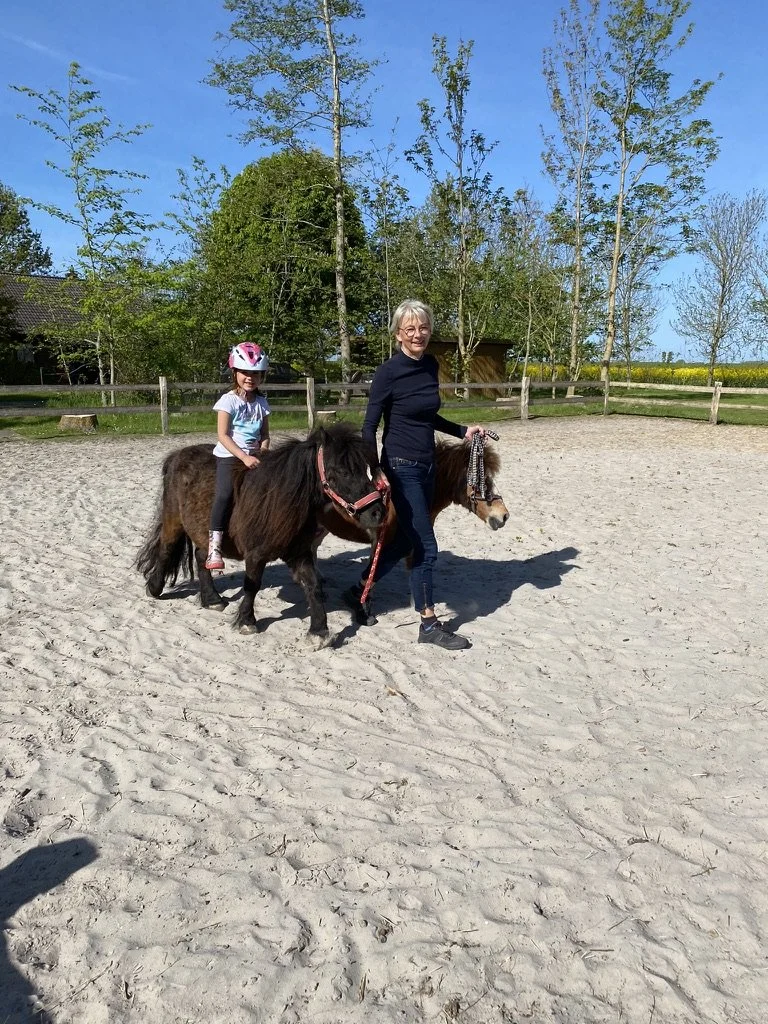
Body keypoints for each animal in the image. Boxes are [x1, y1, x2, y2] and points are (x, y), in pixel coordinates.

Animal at [136, 423, 386, 646]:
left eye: (366, 470)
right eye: (342, 472)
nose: (378, 512)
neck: (280, 499)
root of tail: (177, 455)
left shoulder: (299, 553)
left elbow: (313, 585)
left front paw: (319, 631)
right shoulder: (255, 555)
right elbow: (252, 585)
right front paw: (247, 621)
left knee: (201, 556)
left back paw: (212, 599)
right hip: (173, 520)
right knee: (167, 549)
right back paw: (155, 588)